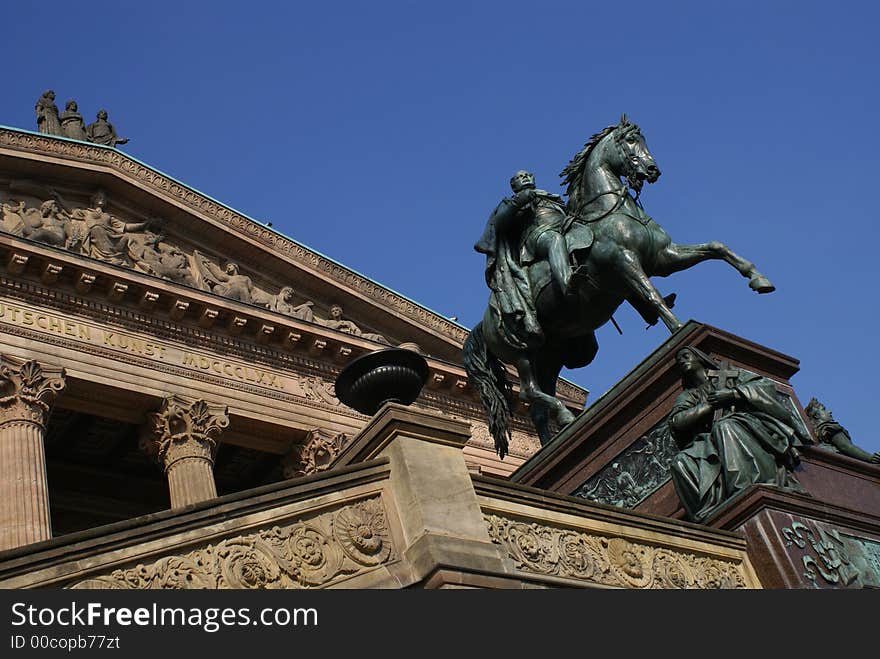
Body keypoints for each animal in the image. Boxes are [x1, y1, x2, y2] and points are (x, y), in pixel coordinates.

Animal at [464, 114, 772, 458]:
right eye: (630, 141)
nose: (652, 170)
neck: (608, 212)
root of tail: (483, 323)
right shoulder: (625, 263)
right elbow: (651, 296)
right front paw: (679, 330)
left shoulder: (664, 258)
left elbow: (717, 247)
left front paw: (758, 278)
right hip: (524, 350)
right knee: (529, 392)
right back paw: (565, 417)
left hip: (551, 354)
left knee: (536, 408)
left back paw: (550, 444)